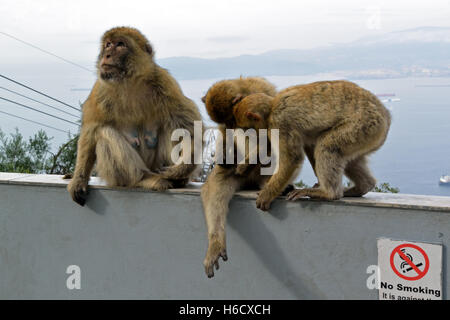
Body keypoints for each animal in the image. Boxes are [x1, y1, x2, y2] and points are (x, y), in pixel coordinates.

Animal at [67, 28, 202, 208]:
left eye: (120, 44)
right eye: (108, 44)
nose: (107, 54)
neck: (129, 81)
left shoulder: (165, 83)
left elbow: (188, 125)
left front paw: (184, 167)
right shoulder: (100, 90)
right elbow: (91, 131)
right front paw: (79, 180)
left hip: (157, 164)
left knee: (171, 127)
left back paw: (177, 179)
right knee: (104, 133)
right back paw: (145, 179)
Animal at [232, 80, 390, 211]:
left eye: (245, 128)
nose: (247, 134)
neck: (272, 108)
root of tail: (386, 115)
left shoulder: (280, 122)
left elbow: (292, 158)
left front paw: (267, 194)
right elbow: (279, 145)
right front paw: (247, 163)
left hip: (364, 125)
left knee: (327, 145)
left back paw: (328, 193)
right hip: (368, 135)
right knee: (346, 156)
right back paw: (363, 186)